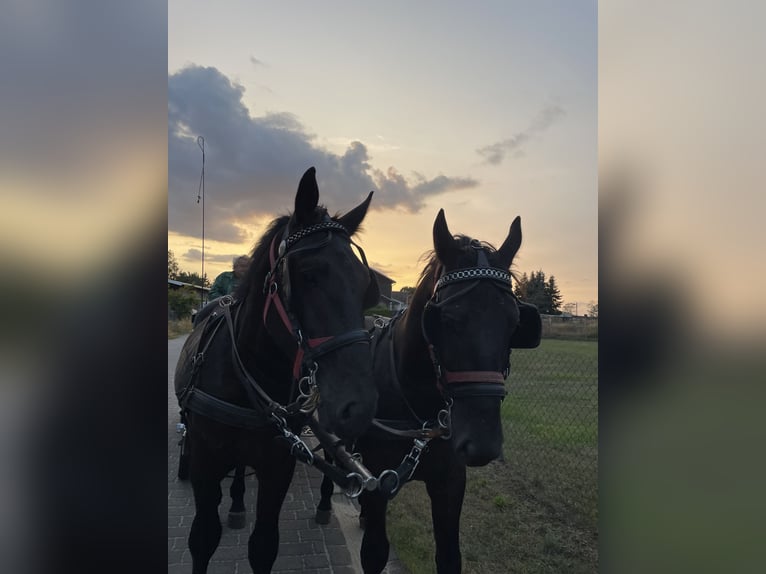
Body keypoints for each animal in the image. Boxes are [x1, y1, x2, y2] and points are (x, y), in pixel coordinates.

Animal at [172, 169, 380, 574]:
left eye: (366, 287)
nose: (360, 407)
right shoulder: (205, 464)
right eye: (309, 274)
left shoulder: (278, 465)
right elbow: (202, 539)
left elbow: (264, 546)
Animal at [316, 210, 544, 574]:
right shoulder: (380, 482)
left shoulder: (449, 483)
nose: (482, 443)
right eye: (446, 320)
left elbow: (449, 557)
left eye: (514, 323)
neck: (421, 411)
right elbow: (375, 552)